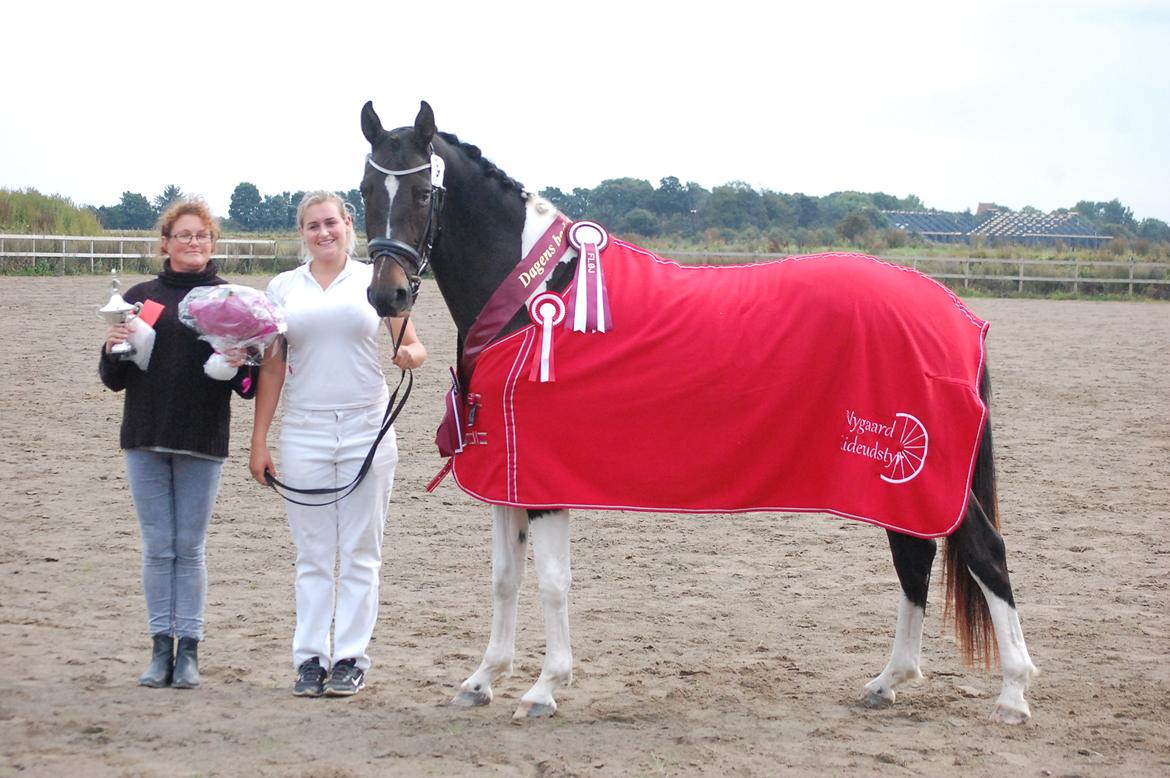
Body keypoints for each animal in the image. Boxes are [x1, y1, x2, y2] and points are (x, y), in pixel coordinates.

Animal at [360, 100, 1038, 725]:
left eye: (422, 191)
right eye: (365, 189)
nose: (386, 294)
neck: (532, 296)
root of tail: (957, 313)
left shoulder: (545, 480)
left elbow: (552, 581)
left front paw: (545, 688)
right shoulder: (510, 474)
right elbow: (505, 577)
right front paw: (482, 680)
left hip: (919, 471)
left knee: (983, 551)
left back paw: (1012, 693)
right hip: (896, 481)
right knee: (914, 559)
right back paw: (890, 679)